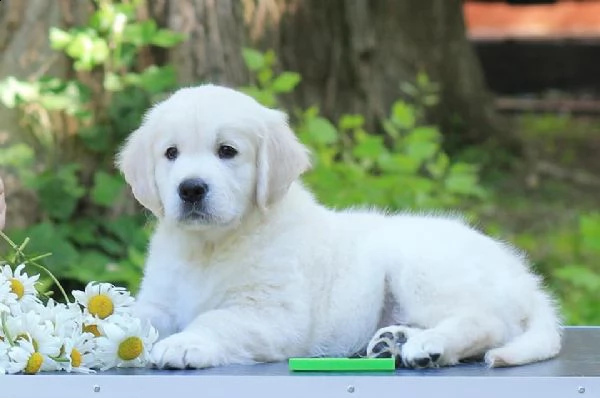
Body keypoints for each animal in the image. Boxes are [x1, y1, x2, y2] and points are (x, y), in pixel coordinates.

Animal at [117, 84, 564, 370]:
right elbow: (134, 318)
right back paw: (395, 341)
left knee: (486, 322)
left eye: (227, 151)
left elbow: (217, 320)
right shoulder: (159, 302)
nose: (191, 189)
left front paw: (185, 342)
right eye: (171, 153)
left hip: (421, 267)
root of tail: (524, 278)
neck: (210, 246)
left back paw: (427, 345)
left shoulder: (273, 314)